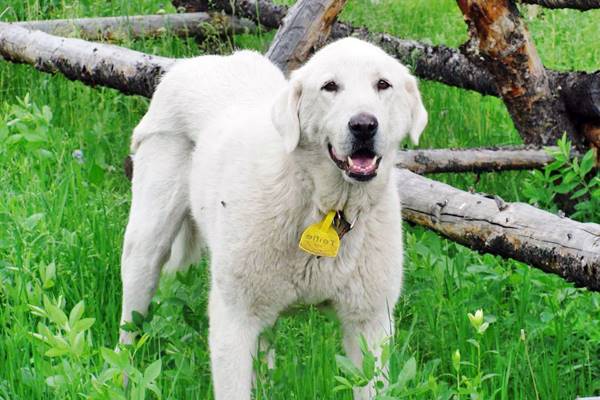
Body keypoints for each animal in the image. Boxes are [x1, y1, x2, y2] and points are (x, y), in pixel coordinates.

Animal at [118, 38, 426, 400]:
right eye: (330, 86)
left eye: (383, 84)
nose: (364, 125)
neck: (326, 208)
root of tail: (200, 61)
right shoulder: (233, 320)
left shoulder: (370, 322)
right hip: (147, 243)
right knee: (127, 331)